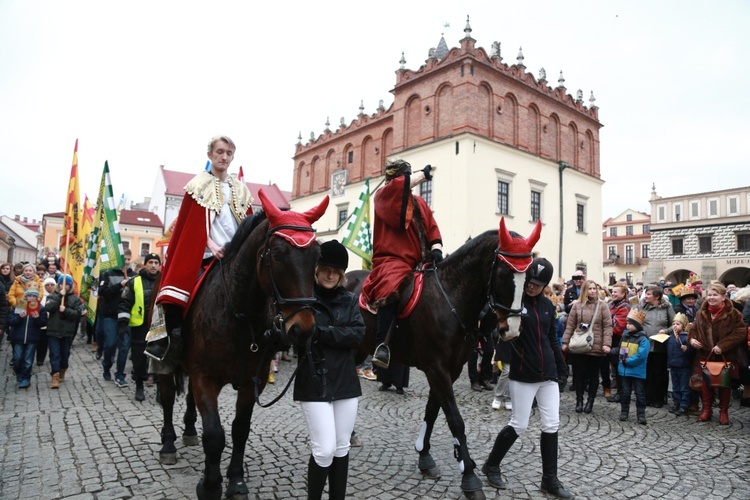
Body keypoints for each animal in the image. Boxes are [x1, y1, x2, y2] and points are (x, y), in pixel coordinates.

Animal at [156, 189, 328, 498]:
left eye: (317, 255)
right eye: (277, 254)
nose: (303, 329)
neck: (237, 313)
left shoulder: (251, 381)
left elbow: (240, 429)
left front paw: (235, 480)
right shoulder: (205, 377)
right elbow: (215, 434)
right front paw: (210, 485)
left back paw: (189, 432)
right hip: (165, 360)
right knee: (166, 398)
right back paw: (168, 444)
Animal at [350, 219, 544, 500]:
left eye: (528, 277)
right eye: (503, 274)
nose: (512, 330)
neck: (450, 298)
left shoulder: (450, 370)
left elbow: (432, 411)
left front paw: (425, 456)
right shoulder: (436, 369)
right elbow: (455, 420)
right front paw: (470, 478)